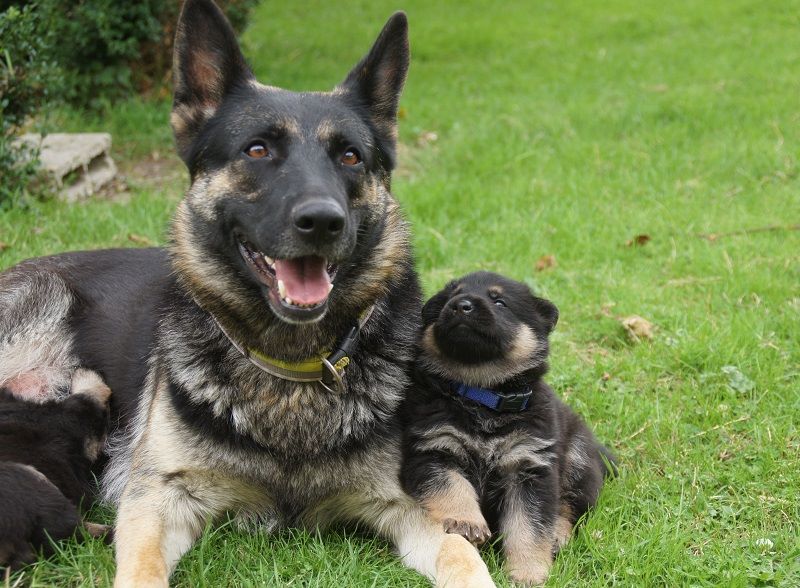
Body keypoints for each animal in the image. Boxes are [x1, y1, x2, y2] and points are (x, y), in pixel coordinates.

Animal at [404, 272, 616, 584]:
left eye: (500, 302)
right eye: (450, 297)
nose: (460, 305)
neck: (482, 394)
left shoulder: (528, 466)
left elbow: (529, 527)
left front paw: (528, 574)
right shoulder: (433, 450)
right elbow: (453, 486)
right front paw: (467, 521)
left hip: (577, 459)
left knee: (570, 508)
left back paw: (558, 535)